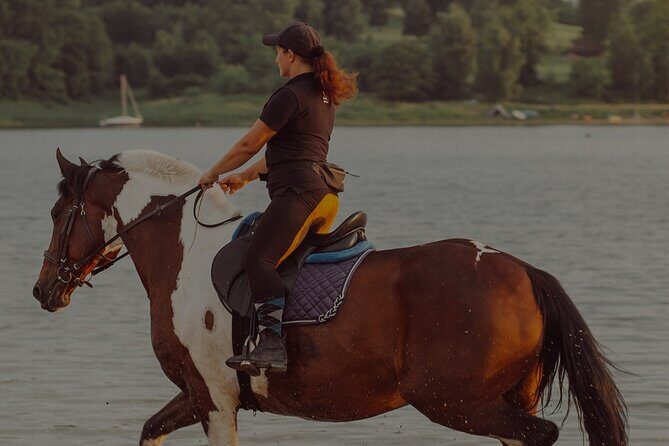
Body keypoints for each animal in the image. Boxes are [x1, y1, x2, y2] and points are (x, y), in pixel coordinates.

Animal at [33, 149, 627, 446]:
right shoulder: (199, 394)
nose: (43, 290)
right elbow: (149, 430)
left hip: (454, 400)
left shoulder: (213, 397)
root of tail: (524, 271)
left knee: (539, 435)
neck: (188, 250)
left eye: (58, 213)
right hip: (502, 398)